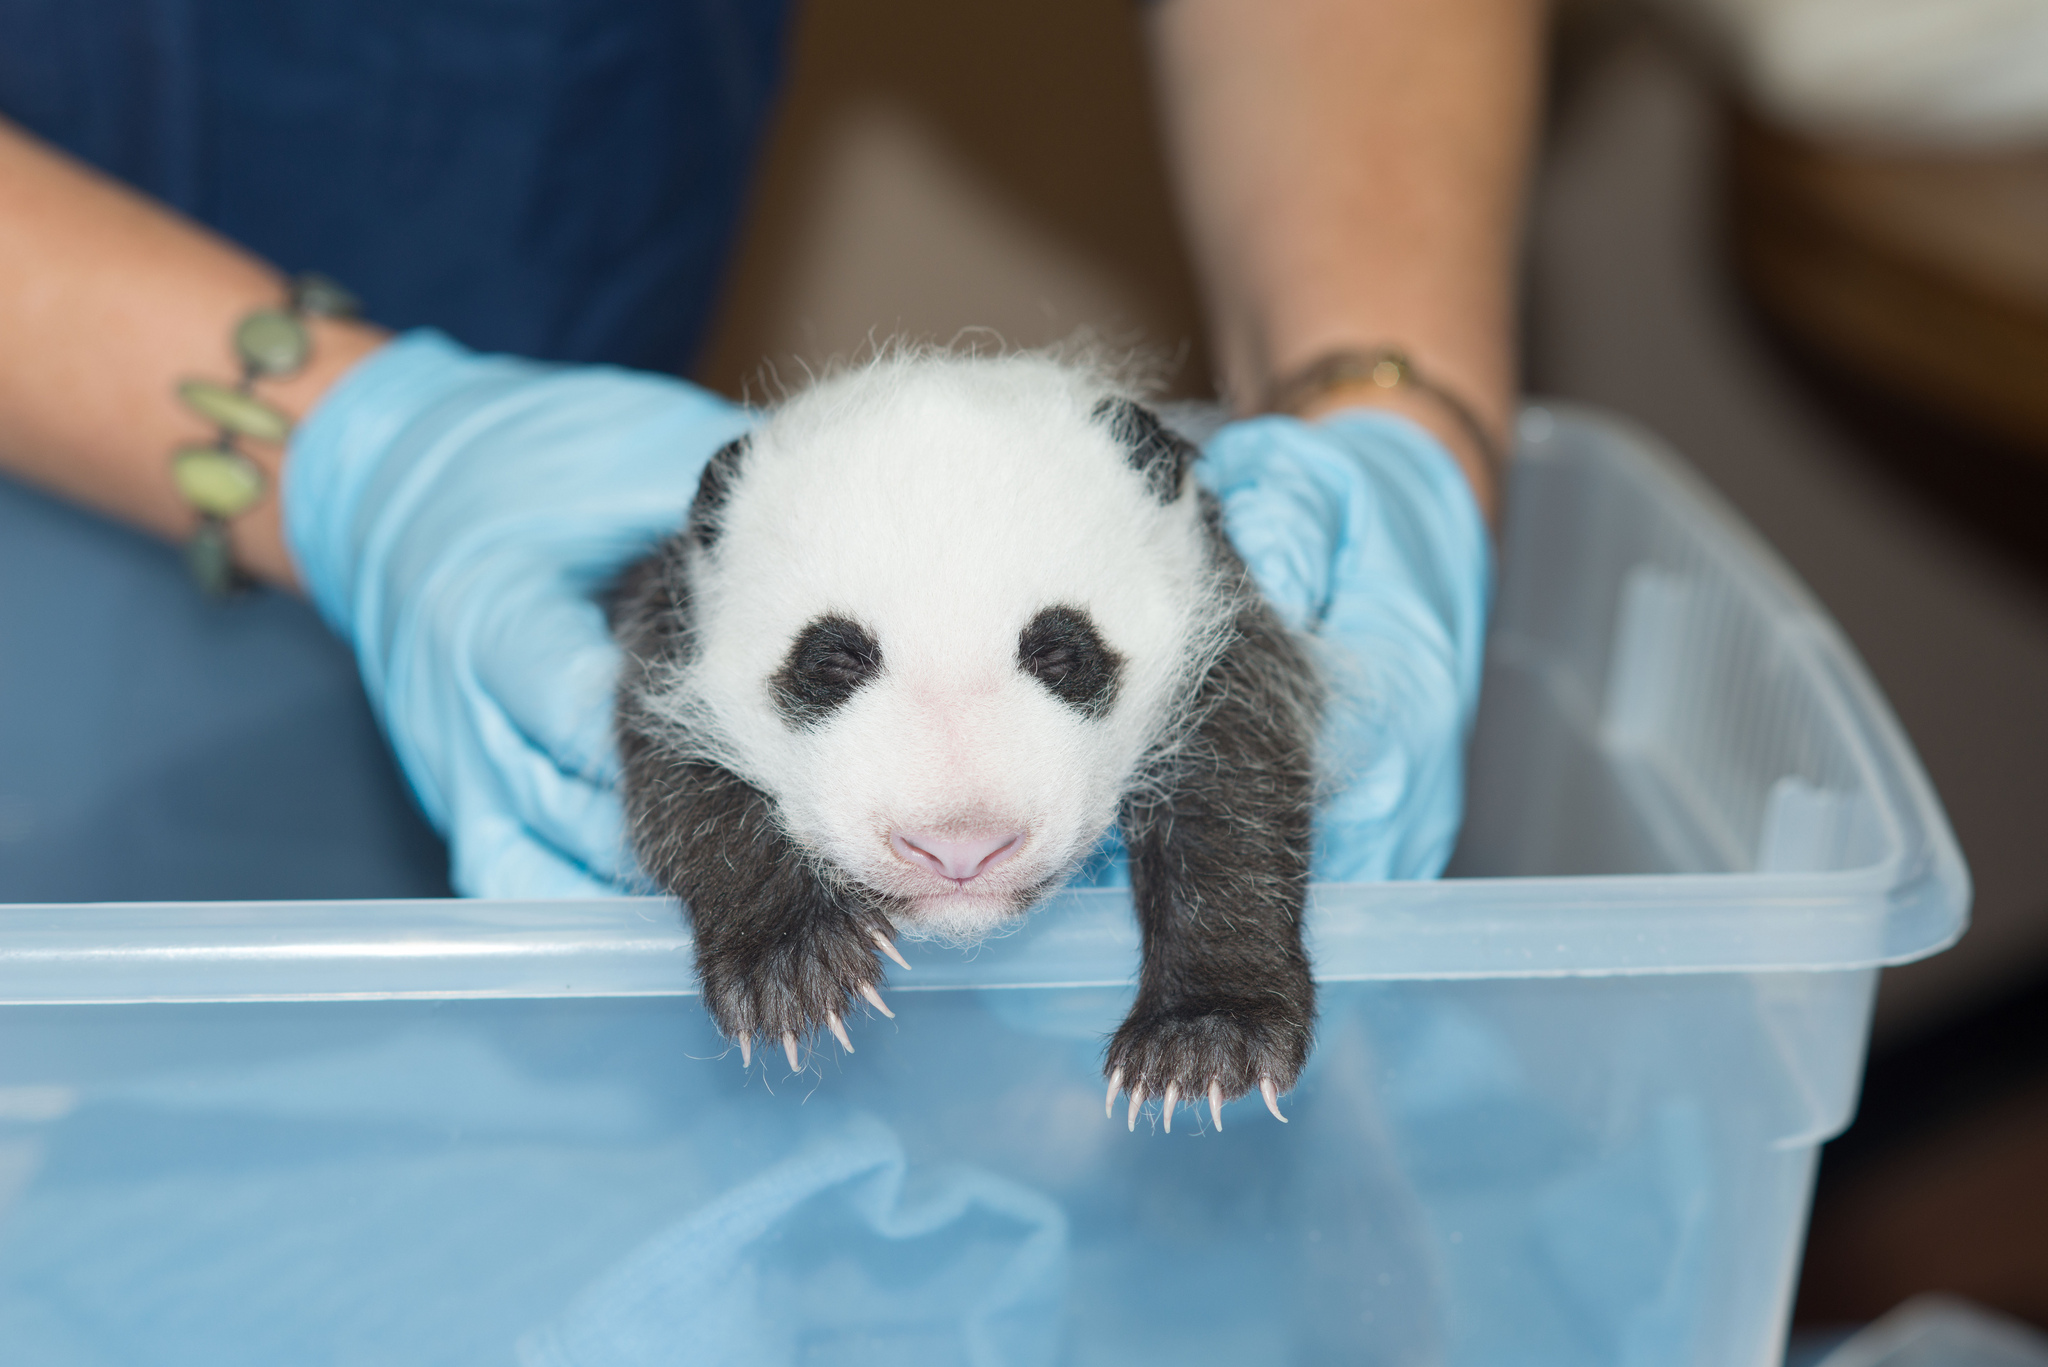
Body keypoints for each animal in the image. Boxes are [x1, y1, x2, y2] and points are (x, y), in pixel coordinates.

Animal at [610, 349, 1324, 1131]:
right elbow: (679, 784)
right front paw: (793, 965)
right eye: (833, 661)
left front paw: (1204, 1040)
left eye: (1060, 652)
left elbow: (1235, 782)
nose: (961, 849)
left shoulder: (1218, 617)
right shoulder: (666, 635)